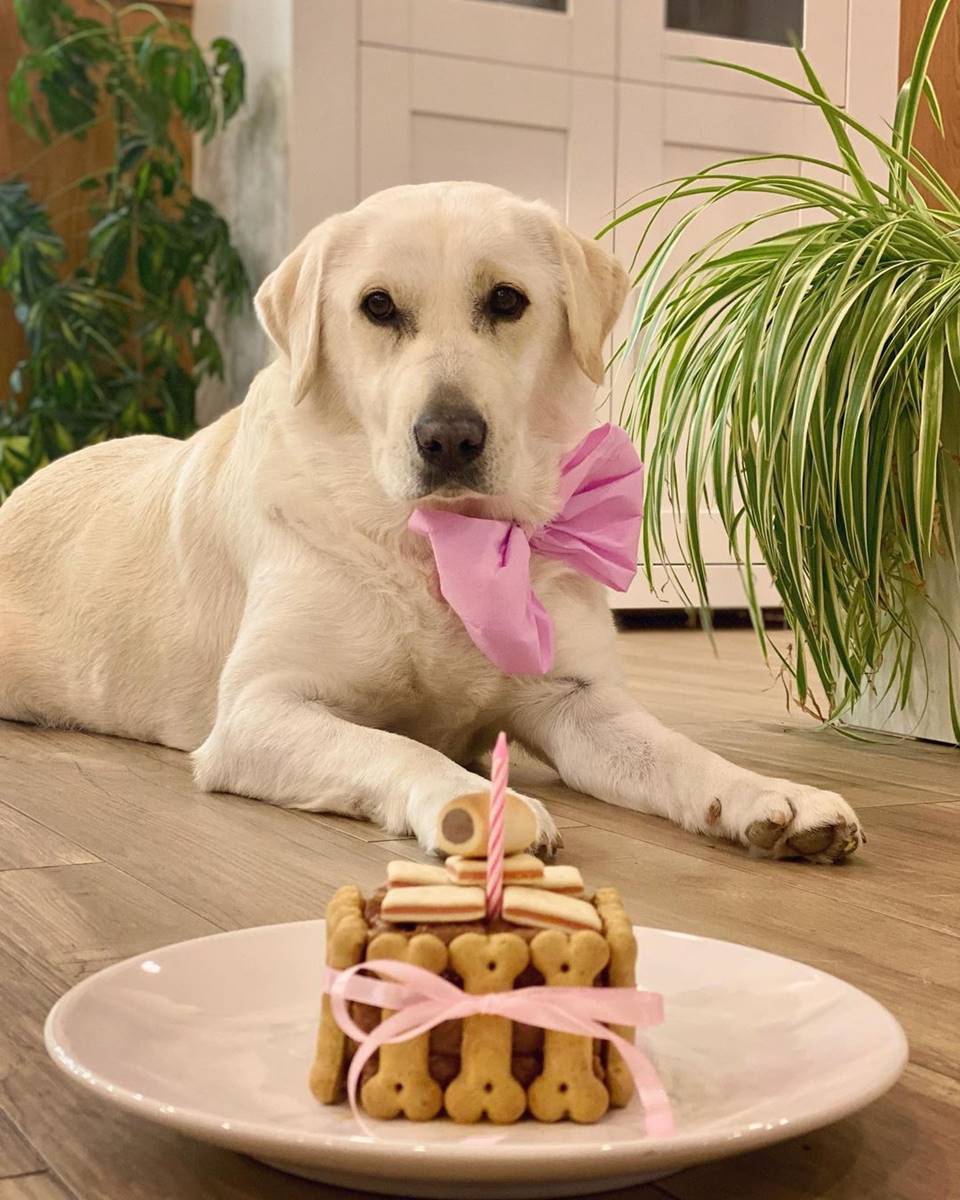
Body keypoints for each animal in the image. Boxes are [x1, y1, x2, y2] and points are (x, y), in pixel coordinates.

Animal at [0, 177, 864, 859]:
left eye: (507, 300)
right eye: (377, 307)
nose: (449, 437)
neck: (446, 544)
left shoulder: (576, 701)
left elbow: (681, 754)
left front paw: (768, 794)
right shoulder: (257, 711)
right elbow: (397, 749)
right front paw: (483, 802)